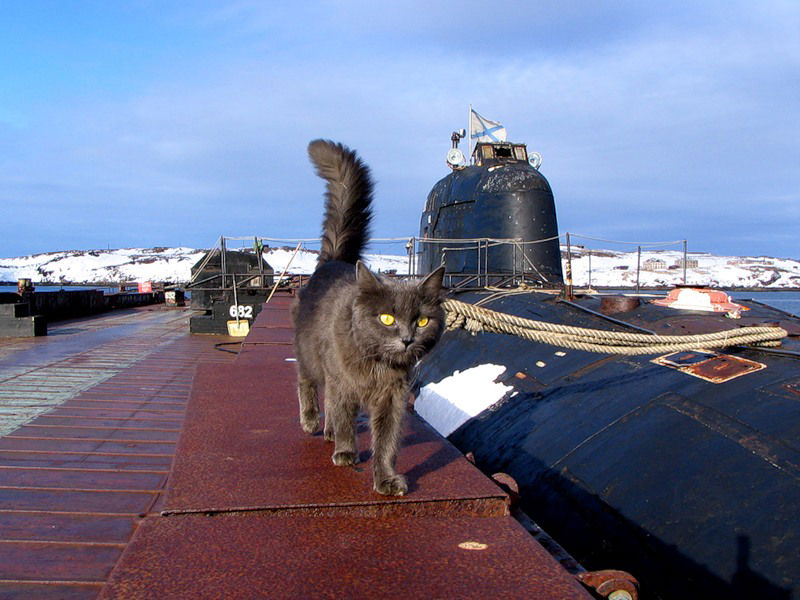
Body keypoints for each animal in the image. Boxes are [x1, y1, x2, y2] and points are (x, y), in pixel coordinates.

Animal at [292, 141, 446, 496]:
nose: (406, 339)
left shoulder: (393, 397)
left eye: (421, 321)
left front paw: (386, 478)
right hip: (310, 354)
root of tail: (333, 261)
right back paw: (313, 421)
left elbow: (387, 441)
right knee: (306, 381)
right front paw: (347, 452)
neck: (377, 364)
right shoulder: (342, 381)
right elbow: (345, 417)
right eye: (387, 318)